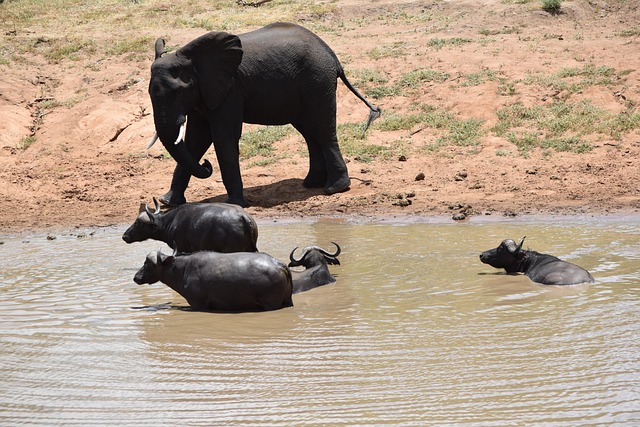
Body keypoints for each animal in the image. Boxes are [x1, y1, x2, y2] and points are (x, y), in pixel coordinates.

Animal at [147, 22, 381, 207]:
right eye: (149, 93)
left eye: (179, 92)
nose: (206, 165)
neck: (193, 59)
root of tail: (333, 55)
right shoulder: (202, 94)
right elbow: (196, 140)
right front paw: (168, 202)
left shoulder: (230, 92)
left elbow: (223, 138)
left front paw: (236, 204)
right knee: (309, 132)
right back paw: (312, 183)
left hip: (317, 82)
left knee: (322, 129)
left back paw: (335, 188)